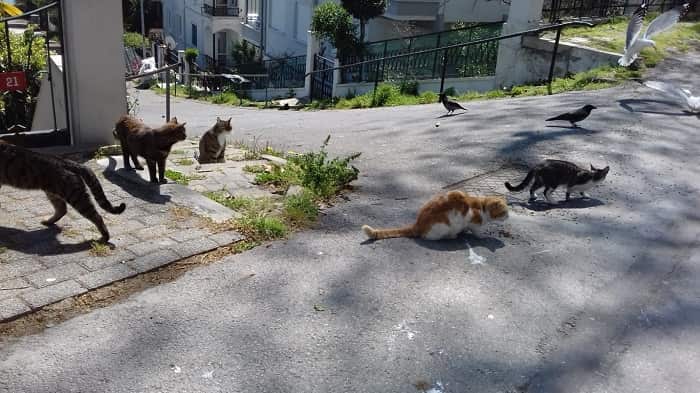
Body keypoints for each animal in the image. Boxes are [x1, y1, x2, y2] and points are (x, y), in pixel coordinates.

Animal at [360, 189, 508, 239]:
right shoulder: (473, 220)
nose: (508, 216)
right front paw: (482, 236)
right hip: (444, 225)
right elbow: (477, 231)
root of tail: (417, 224)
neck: (482, 206)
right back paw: (452, 236)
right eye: (505, 212)